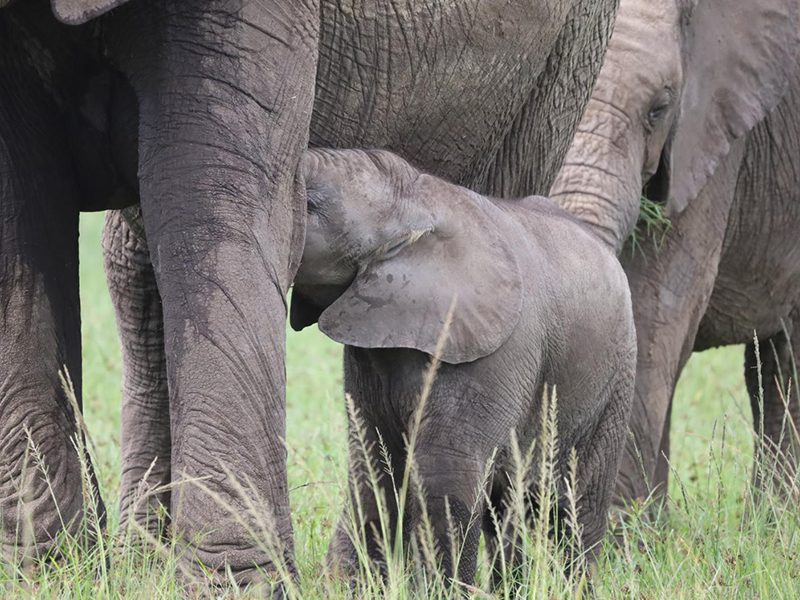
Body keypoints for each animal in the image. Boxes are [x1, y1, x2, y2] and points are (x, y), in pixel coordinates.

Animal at [288, 147, 636, 583]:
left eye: (312, 205)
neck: (417, 200)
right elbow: (376, 466)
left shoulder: (493, 348)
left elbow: (444, 469)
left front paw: (440, 588)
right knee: (508, 508)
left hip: (616, 379)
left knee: (576, 506)